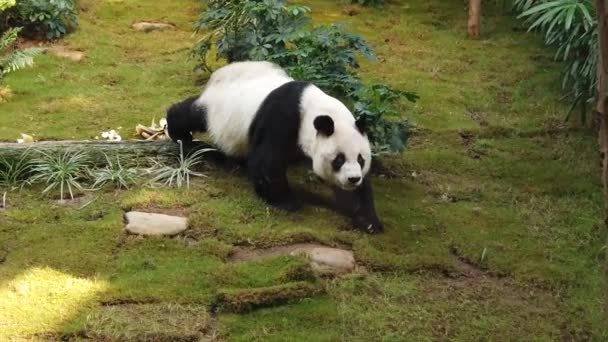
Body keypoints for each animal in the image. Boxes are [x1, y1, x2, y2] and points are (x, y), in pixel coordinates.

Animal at [165, 60, 384, 232]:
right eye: (339, 159)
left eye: (361, 159)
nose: (353, 179)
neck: (316, 110)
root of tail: (220, 73)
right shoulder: (282, 116)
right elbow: (266, 160)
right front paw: (287, 201)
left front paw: (369, 221)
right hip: (217, 109)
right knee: (192, 114)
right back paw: (180, 134)